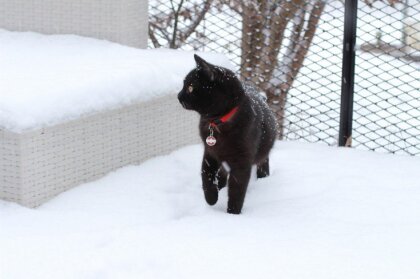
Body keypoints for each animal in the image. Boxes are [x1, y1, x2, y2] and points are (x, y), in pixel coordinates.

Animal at [179, 55, 278, 215]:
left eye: (191, 87)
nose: (178, 96)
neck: (217, 122)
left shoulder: (242, 163)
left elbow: (237, 190)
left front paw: (232, 214)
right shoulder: (210, 153)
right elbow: (206, 177)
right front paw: (211, 199)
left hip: (262, 152)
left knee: (263, 161)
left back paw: (263, 176)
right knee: (222, 174)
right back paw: (219, 187)